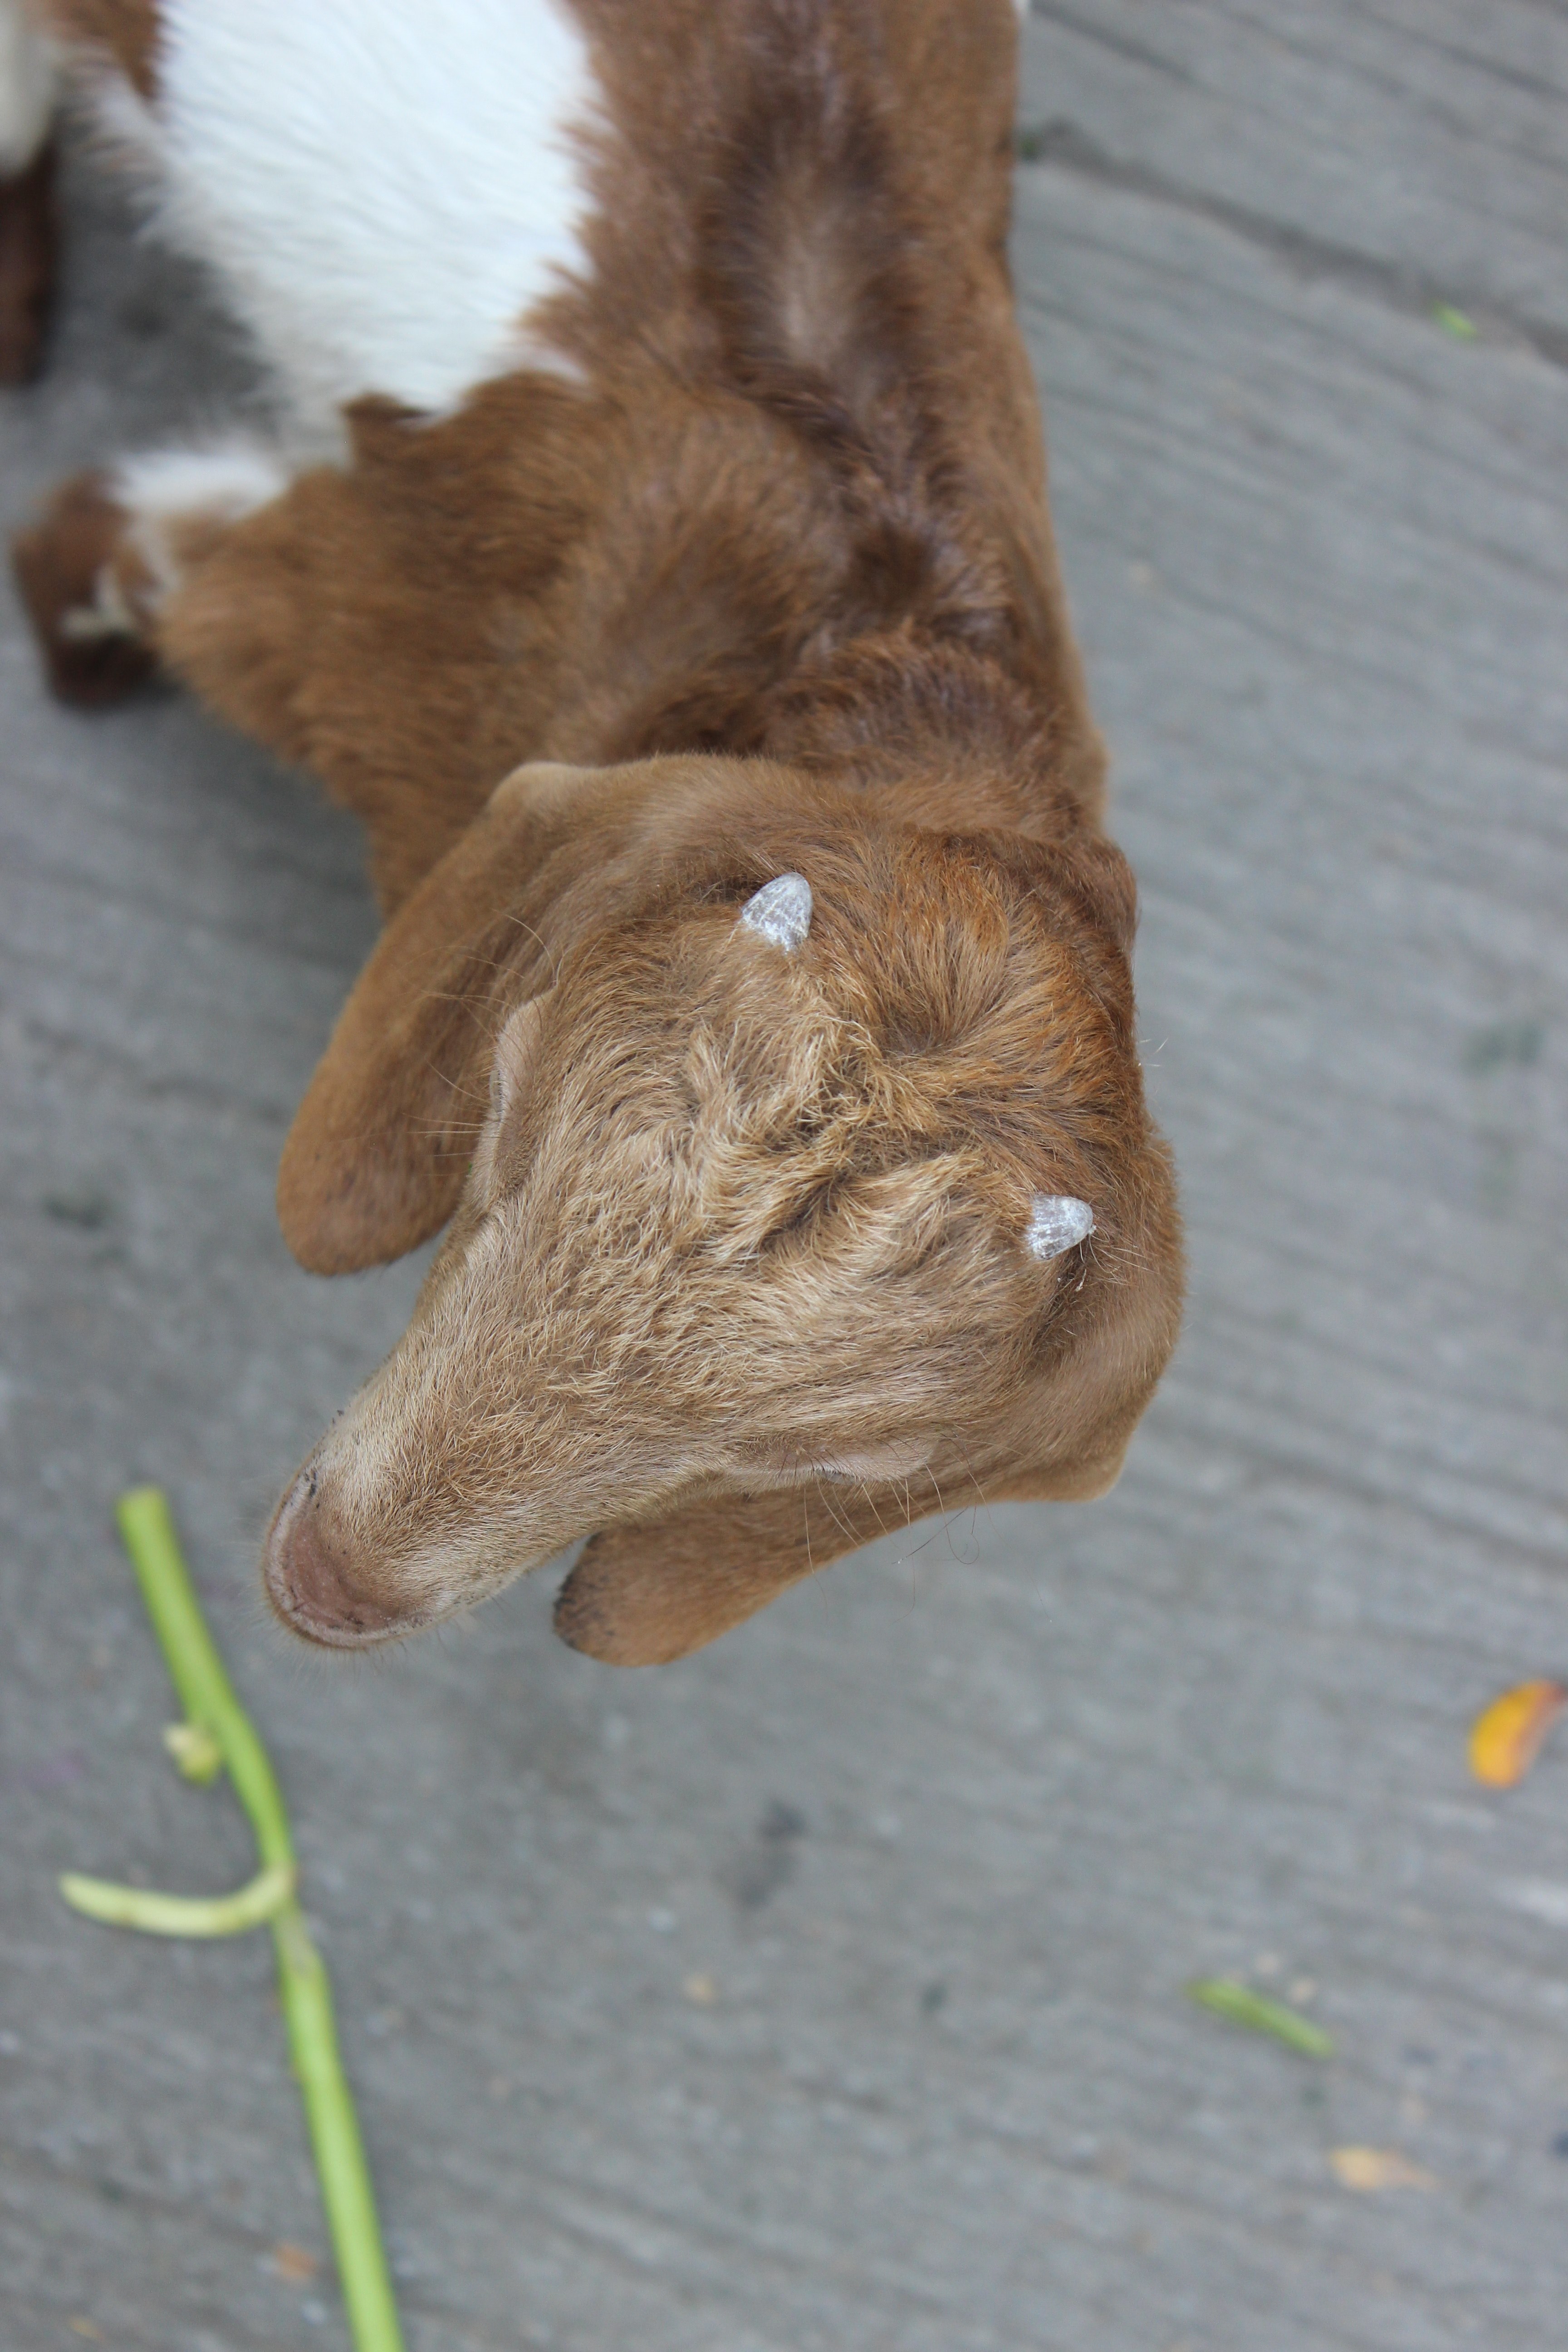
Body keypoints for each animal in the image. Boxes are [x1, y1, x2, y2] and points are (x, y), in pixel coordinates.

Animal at [10, 0, 1183, 1664]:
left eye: (812, 1461)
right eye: (498, 1106)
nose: (332, 1579)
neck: (878, 624)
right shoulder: (328, 608)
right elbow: (82, 535)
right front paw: (80, 664)